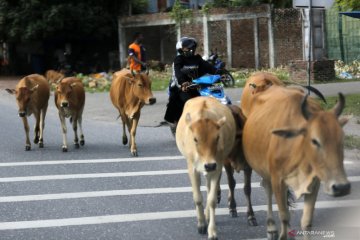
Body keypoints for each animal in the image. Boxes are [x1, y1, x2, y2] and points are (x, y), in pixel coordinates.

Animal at [176, 96, 238, 240]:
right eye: (195, 139)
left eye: (217, 137)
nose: (209, 164)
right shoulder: (192, 168)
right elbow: (198, 198)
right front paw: (201, 224)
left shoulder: (217, 166)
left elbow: (212, 200)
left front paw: (212, 231)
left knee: (210, 189)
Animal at [240, 85, 350, 240]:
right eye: (314, 140)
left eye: (342, 138)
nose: (342, 187)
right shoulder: (277, 179)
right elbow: (284, 216)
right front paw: (281, 233)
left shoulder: (314, 182)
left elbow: (306, 221)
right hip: (263, 171)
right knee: (267, 190)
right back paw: (271, 227)